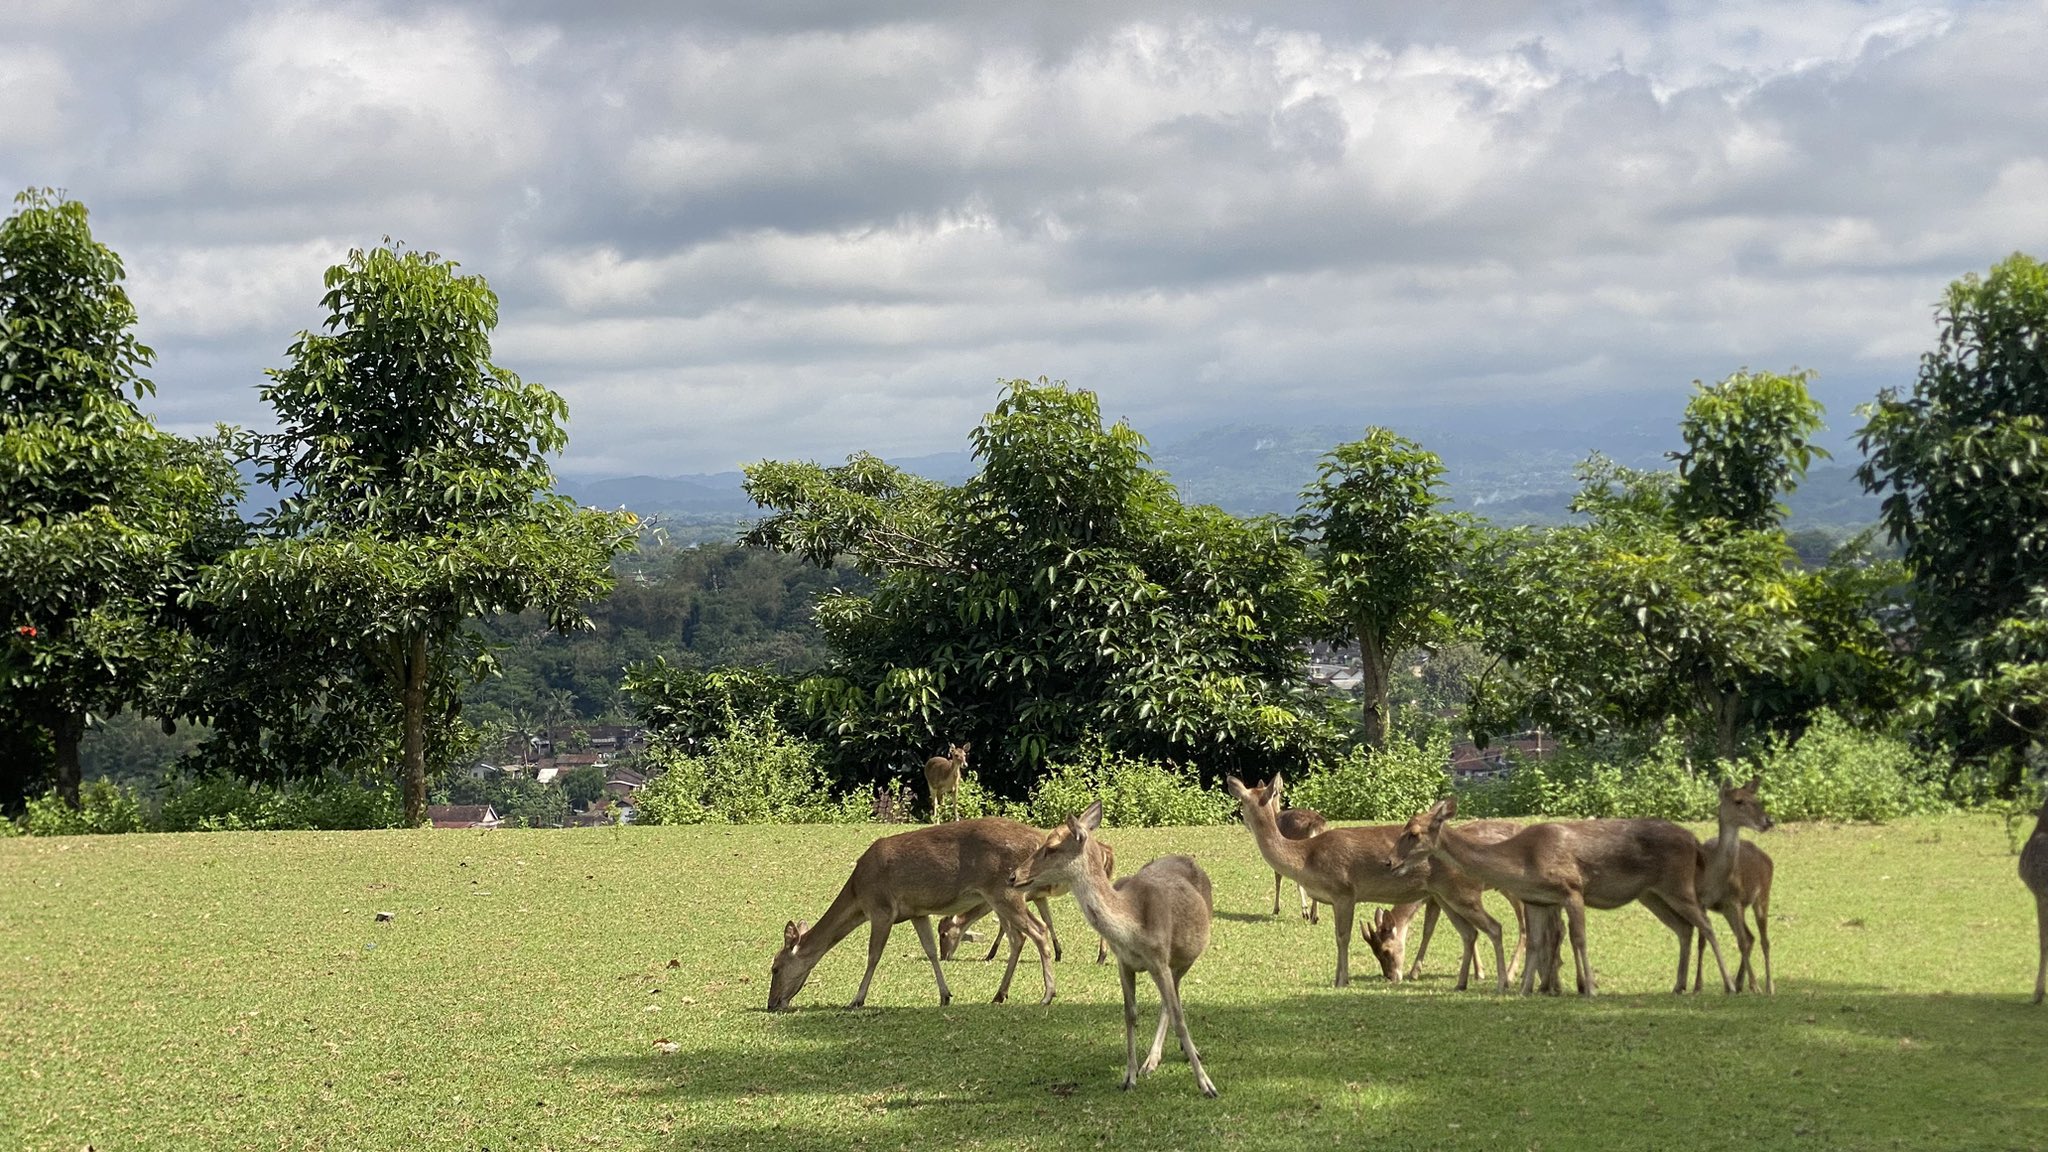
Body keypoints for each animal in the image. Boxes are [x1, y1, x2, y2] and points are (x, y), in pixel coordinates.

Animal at [767, 817, 1055, 1011]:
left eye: (775, 968)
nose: (772, 1003)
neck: (858, 895)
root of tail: (1036, 840)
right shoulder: (917, 912)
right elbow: (930, 951)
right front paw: (945, 996)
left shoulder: (881, 908)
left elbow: (873, 955)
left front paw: (857, 999)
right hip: (999, 896)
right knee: (1018, 937)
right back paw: (999, 994)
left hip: (1003, 891)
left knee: (1038, 930)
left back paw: (1047, 995)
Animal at [1010, 801, 1219, 1097]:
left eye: (1050, 848)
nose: (1012, 876)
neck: (1132, 926)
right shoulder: (1124, 962)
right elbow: (1130, 1014)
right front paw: (1129, 1077)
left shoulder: (1159, 958)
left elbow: (1178, 1016)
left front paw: (1207, 1085)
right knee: (1170, 999)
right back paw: (1151, 1061)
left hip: (1186, 956)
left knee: (1172, 1001)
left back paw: (1168, 1057)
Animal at [1226, 774, 1508, 991]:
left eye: (1242, 800)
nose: (1240, 819)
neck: (1306, 857)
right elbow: (1338, 935)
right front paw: (1338, 978)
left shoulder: (1344, 891)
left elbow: (1343, 936)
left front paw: (1342, 980)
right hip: (1444, 895)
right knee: (1469, 932)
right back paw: (1462, 983)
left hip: (1461, 891)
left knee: (1493, 927)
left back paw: (1501, 983)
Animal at [1386, 794, 1732, 995]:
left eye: (1413, 833)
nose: (1389, 862)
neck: (1523, 860)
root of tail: (1694, 842)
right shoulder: (1538, 900)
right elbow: (1536, 942)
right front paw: (1526, 989)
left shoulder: (1572, 889)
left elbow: (1579, 938)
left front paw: (1590, 988)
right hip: (1653, 895)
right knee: (1685, 928)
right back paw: (1679, 985)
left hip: (1679, 885)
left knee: (1707, 925)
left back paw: (1729, 985)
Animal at [1693, 777, 1776, 993]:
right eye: (1739, 801)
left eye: (1757, 799)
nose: (1768, 821)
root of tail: (1767, 858)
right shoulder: (1702, 902)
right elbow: (1702, 941)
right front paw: (1697, 986)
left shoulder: (1736, 900)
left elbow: (1742, 943)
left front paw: (1755, 985)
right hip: (1728, 910)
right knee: (1750, 936)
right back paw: (1738, 984)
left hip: (1762, 895)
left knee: (1762, 940)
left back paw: (1768, 986)